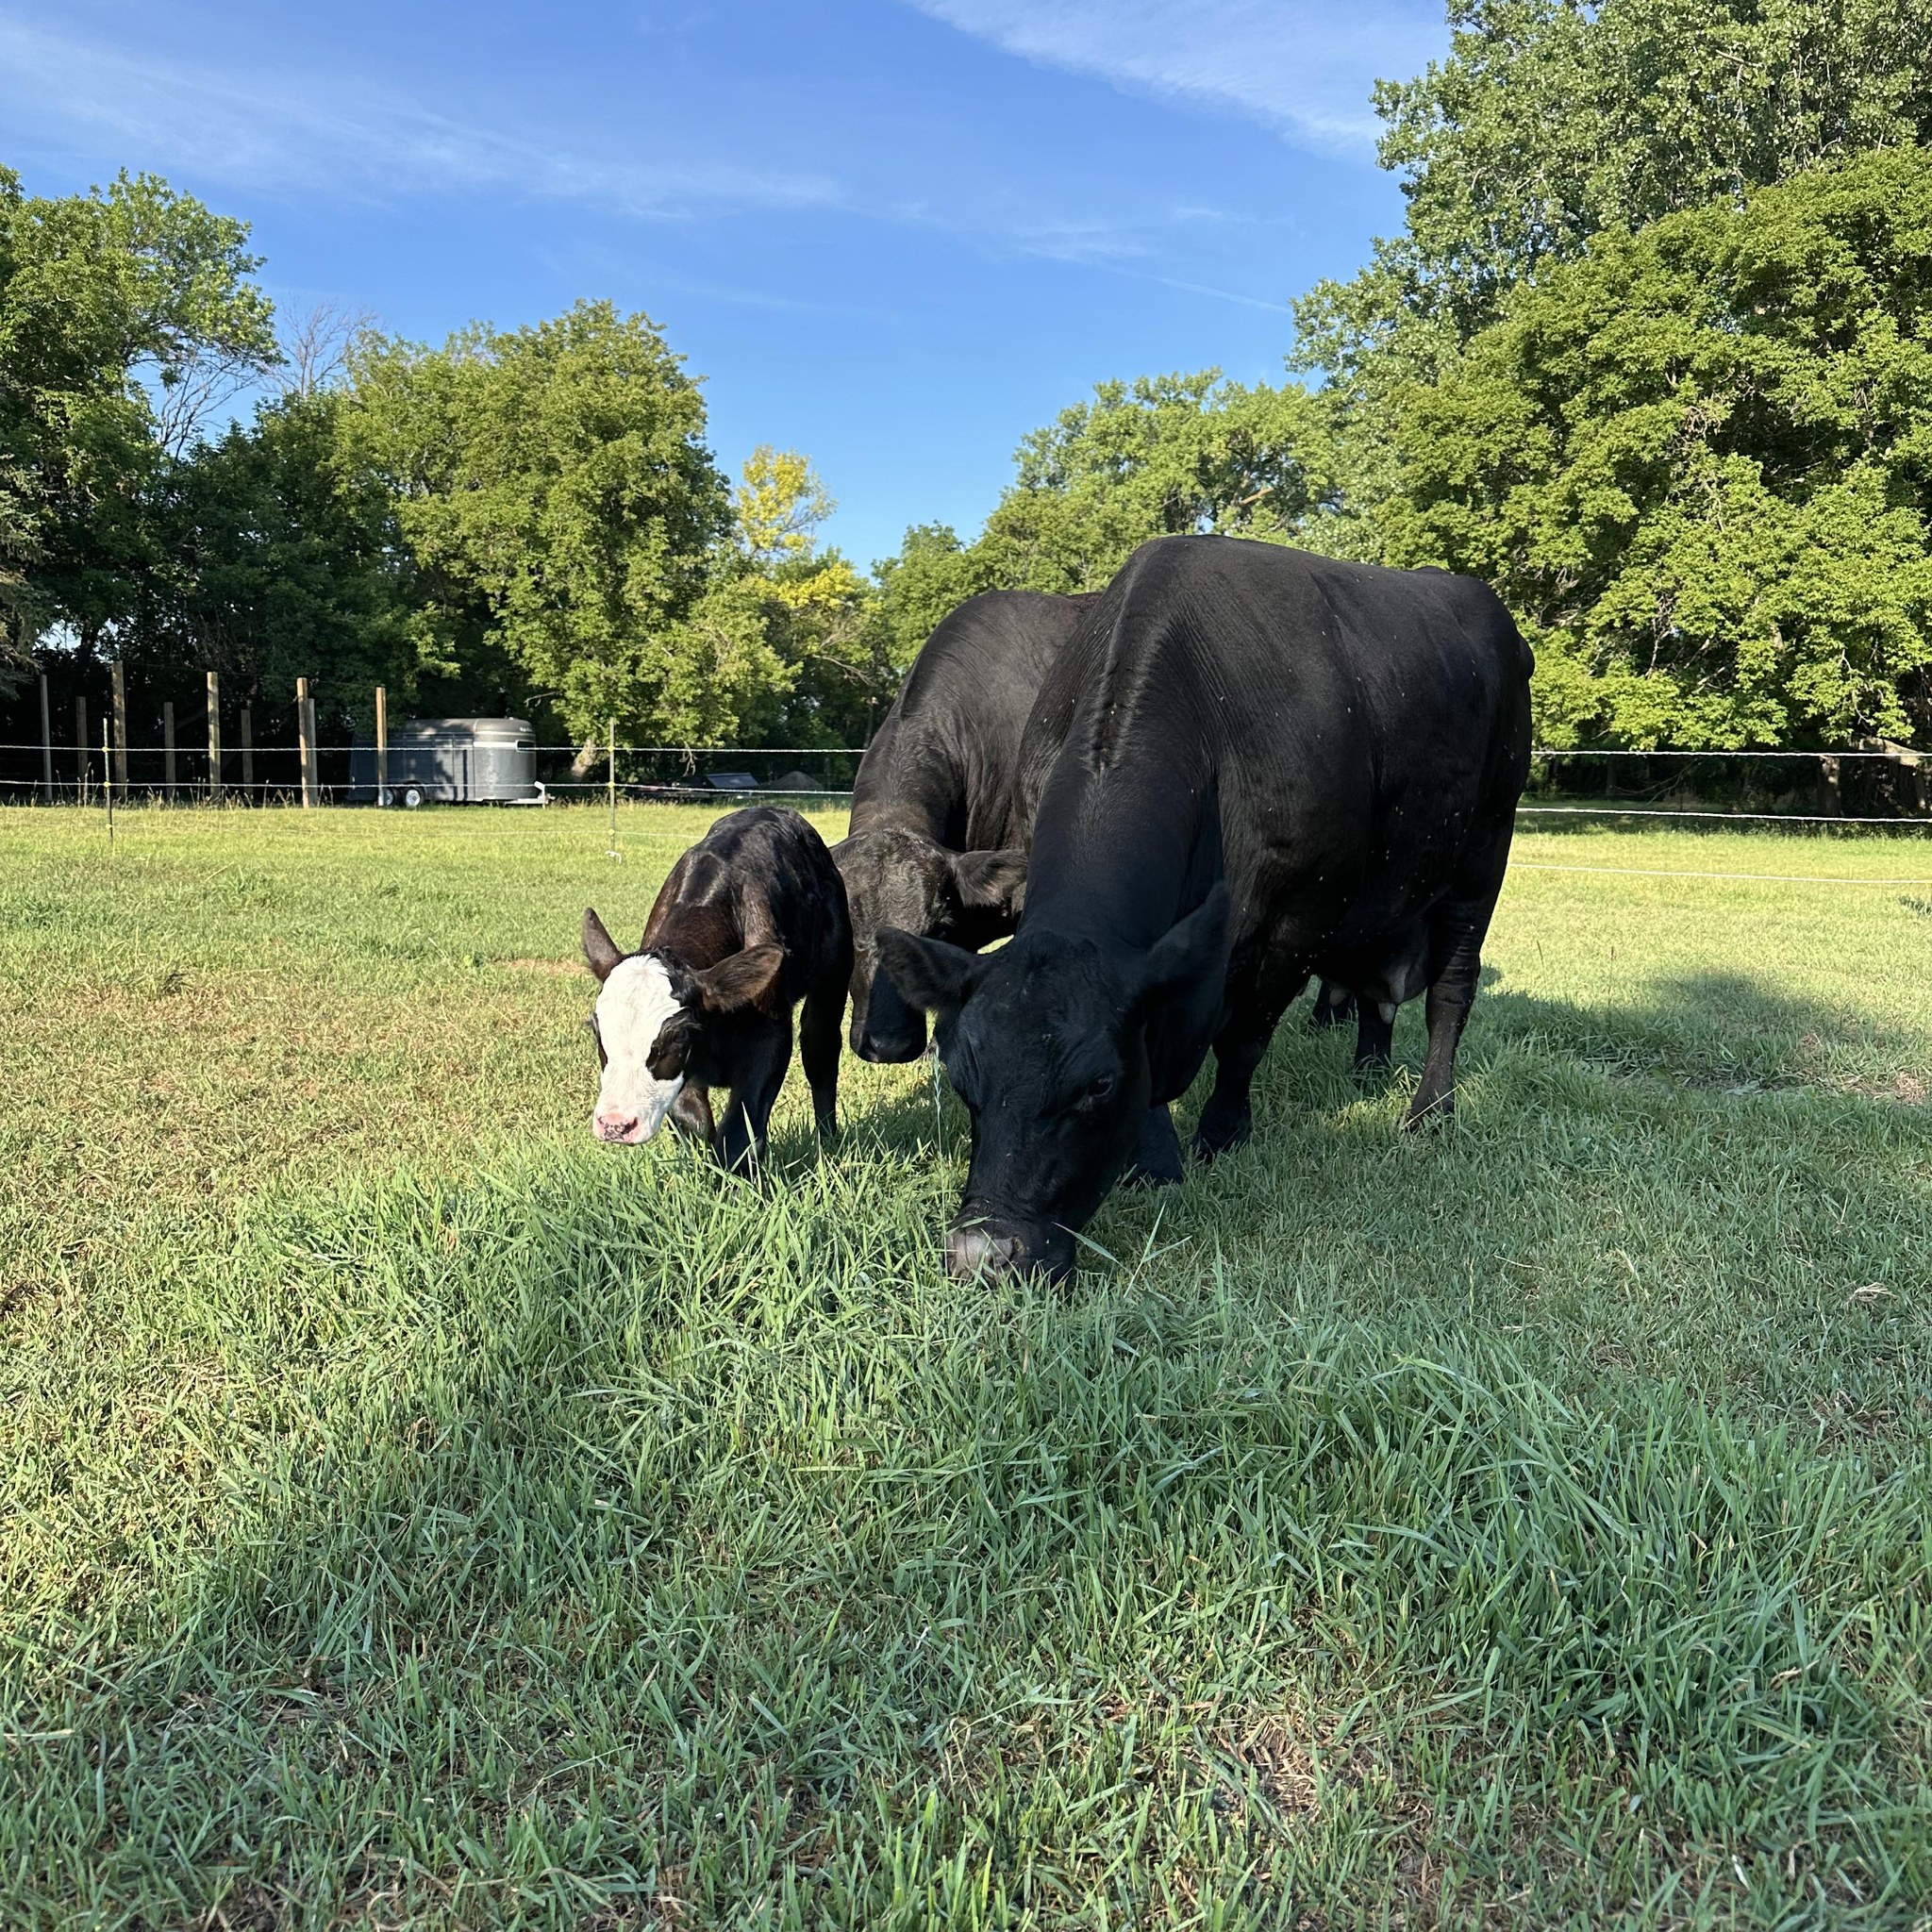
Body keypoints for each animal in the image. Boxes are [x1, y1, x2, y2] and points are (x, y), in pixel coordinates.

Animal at [582, 807, 852, 1170]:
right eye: (597, 1030)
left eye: (677, 1036)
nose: (616, 1124)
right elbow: (694, 1120)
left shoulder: (770, 1035)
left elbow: (739, 1133)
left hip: (834, 973)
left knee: (820, 1052)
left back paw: (828, 1146)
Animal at [874, 535, 1534, 1281]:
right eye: (963, 1078)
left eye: (1098, 1085)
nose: (984, 1253)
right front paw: (1156, 1161)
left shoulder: (1297, 920)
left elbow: (1244, 1037)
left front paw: (1220, 1134)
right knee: (1379, 993)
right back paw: (1368, 1071)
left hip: (1484, 851)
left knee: (1451, 992)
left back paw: (1431, 1112)